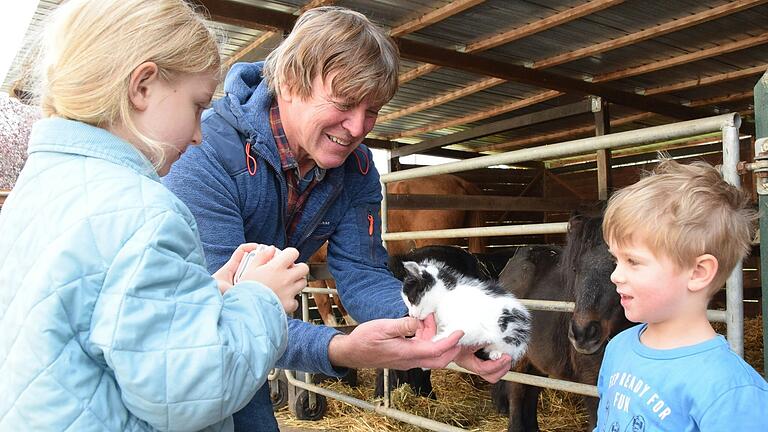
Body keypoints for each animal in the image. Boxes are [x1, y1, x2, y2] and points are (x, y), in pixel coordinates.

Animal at [400, 260, 532, 362]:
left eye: (412, 299)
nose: (412, 315)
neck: (445, 295)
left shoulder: (468, 325)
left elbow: (449, 333)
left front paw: (433, 342)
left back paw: (496, 353)